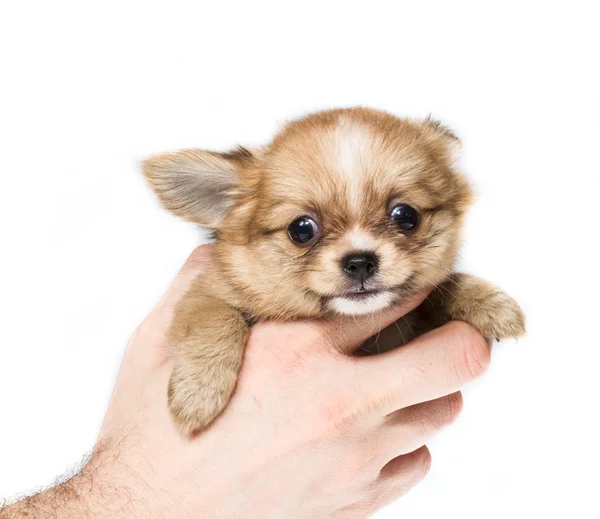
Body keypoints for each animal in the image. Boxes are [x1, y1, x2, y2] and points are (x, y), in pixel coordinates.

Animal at [142, 106, 524, 434]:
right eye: (301, 229)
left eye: (406, 215)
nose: (360, 261)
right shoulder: (205, 293)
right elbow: (217, 319)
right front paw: (199, 393)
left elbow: (443, 287)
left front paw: (491, 303)